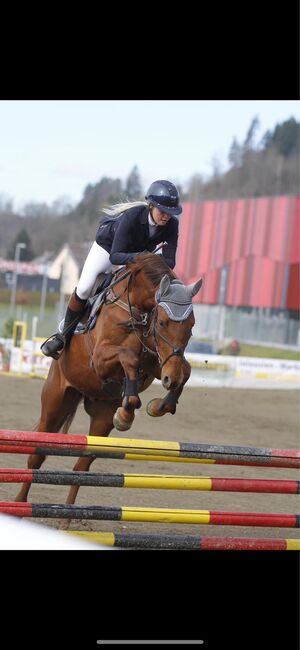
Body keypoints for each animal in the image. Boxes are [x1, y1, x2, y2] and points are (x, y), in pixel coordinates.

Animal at [14, 253, 202, 512]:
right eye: (163, 322)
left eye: (191, 325)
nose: (169, 379)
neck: (138, 310)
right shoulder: (101, 360)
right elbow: (129, 358)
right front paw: (130, 407)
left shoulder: (157, 362)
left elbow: (185, 370)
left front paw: (159, 405)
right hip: (55, 402)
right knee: (37, 455)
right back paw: (20, 505)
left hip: (102, 416)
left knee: (82, 467)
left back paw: (68, 516)